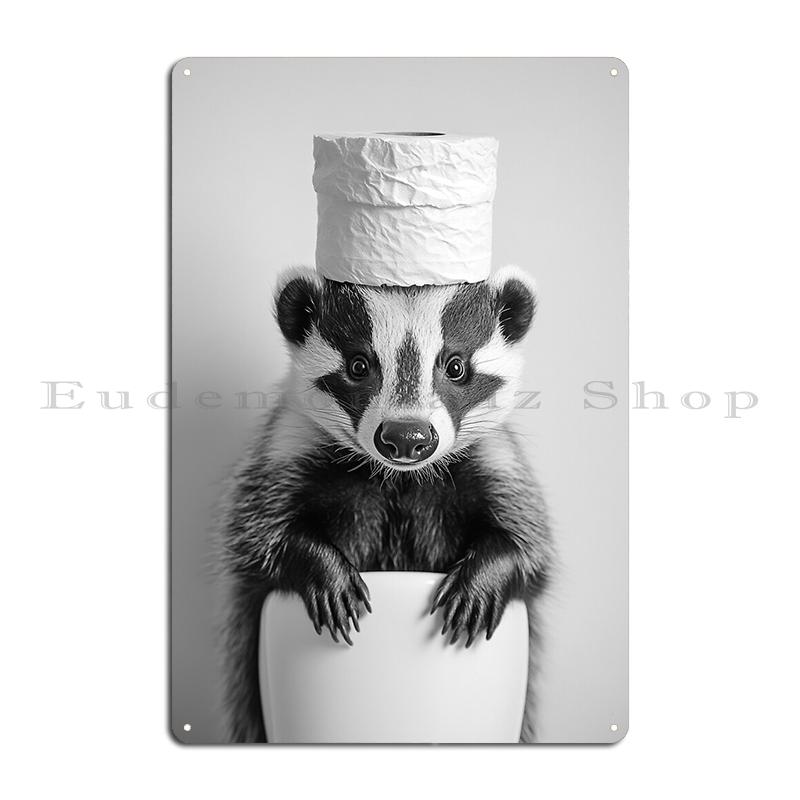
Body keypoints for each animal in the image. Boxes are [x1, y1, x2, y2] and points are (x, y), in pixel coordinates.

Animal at [220, 265, 552, 743]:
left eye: (455, 366)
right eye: (359, 365)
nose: (406, 437)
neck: (397, 480)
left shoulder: (493, 460)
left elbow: (528, 540)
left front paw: (479, 584)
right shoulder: (287, 448)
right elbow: (258, 533)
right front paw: (328, 577)